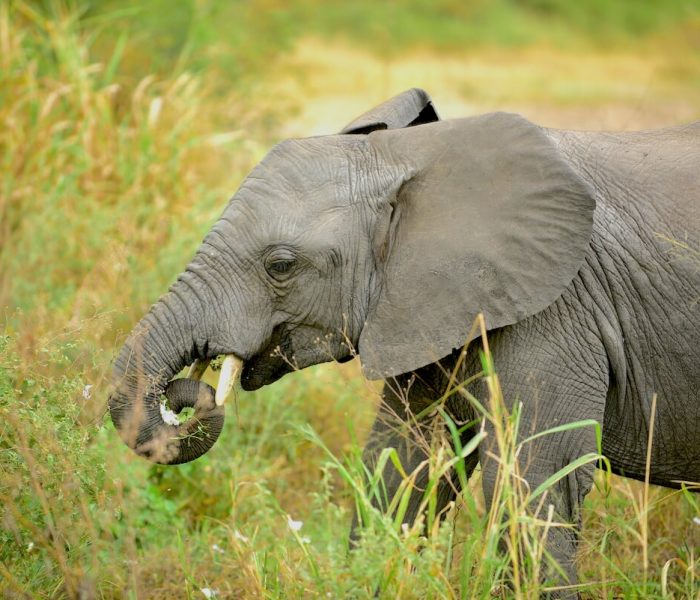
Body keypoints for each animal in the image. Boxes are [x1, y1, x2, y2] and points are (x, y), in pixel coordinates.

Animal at [109, 89, 700, 596]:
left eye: (280, 266)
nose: (191, 395)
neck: (413, 161)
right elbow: (402, 466)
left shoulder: (556, 310)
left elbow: (531, 485)